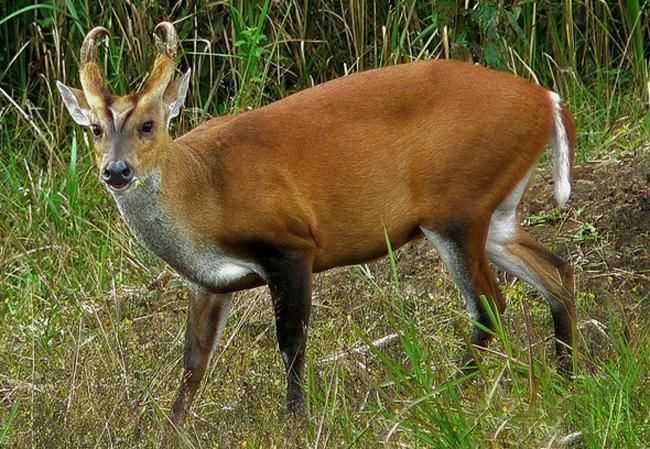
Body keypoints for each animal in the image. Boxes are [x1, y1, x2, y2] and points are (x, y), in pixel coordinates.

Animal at [59, 22, 576, 426]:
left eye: (148, 125)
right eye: (95, 129)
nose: (116, 171)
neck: (202, 189)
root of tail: (546, 99)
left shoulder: (290, 244)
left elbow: (291, 342)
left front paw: (295, 420)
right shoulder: (209, 282)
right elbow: (193, 363)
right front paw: (172, 429)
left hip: (457, 205)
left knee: (491, 304)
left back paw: (448, 392)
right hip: (494, 212)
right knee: (556, 270)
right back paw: (566, 376)